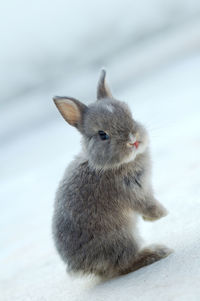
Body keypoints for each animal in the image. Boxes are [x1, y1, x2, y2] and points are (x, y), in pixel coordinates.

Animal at [52, 69, 173, 278]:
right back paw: (157, 252)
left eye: (130, 115)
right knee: (124, 264)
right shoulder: (134, 192)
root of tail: (82, 267)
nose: (133, 140)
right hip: (122, 237)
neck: (107, 166)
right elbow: (149, 205)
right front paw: (162, 214)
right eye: (102, 134)